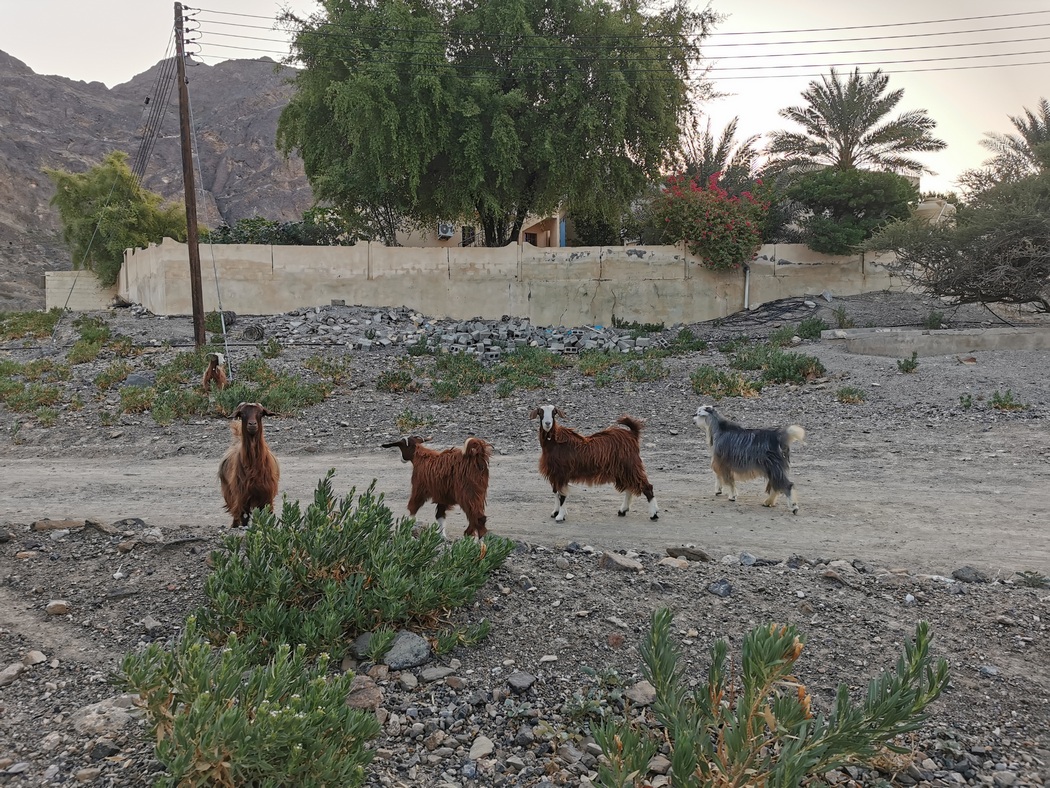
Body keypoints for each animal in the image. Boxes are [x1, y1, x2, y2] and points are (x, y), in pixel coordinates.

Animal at [529, 405, 658, 522]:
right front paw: (555, 512)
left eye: (554, 412)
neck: (555, 442)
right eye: (540, 412)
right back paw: (623, 510)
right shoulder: (554, 474)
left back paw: (654, 514)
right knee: (629, 488)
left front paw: (560, 516)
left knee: (647, 487)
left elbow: (562, 495)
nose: (547, 424)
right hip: (623, 469)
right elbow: (556, 492)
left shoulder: (562, 473)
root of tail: (632, 434)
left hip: (631, 465)